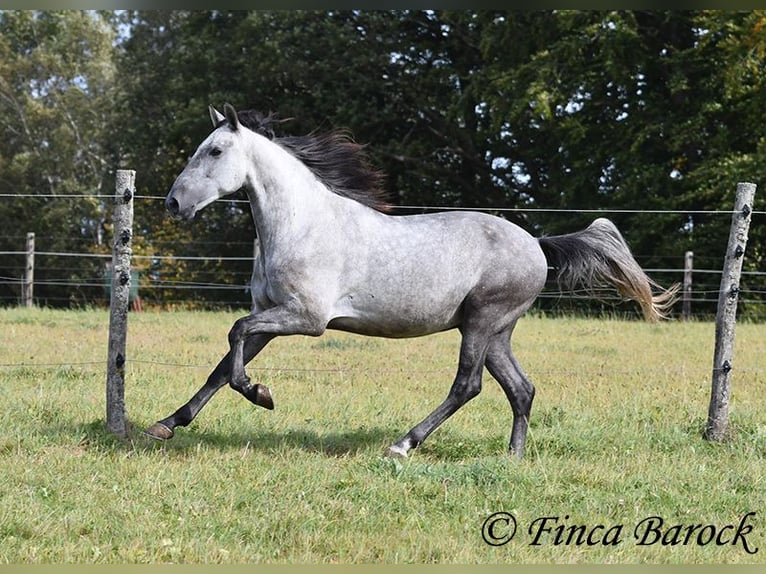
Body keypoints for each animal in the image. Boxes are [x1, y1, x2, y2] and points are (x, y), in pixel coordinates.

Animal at [146, 103, 680, 462]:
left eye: (215, 150)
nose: (173, 203)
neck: (301, 224)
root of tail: (537, 244)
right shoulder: (270, 315)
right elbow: (222, 365)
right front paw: (166, 425)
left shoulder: (306, 318)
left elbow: (233, 337)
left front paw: (261, 393)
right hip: (497, 331)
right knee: (521, 389)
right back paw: (512, 457)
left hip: (482, 322)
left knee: (468, 385)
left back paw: (403, 445)